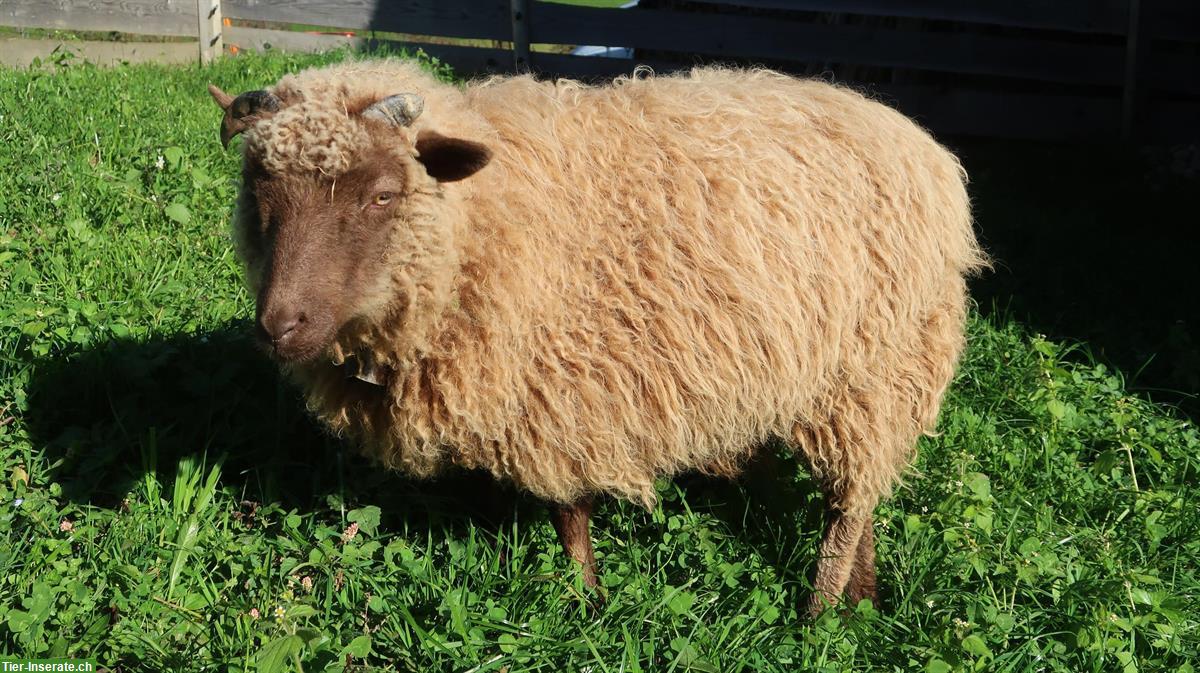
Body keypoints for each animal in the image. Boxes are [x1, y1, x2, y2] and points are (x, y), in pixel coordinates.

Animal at [211, 60, 988, 611]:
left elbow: (569, 514)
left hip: (875, 367)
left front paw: (585, 604)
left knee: (847, 505)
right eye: (256, 191)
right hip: (861, 382)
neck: (484, 221)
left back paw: (821, 616)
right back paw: (865, 599)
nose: (280, 326)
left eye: (382, 195)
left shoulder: (565, 390)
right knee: (864, 495)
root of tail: (919, 143)